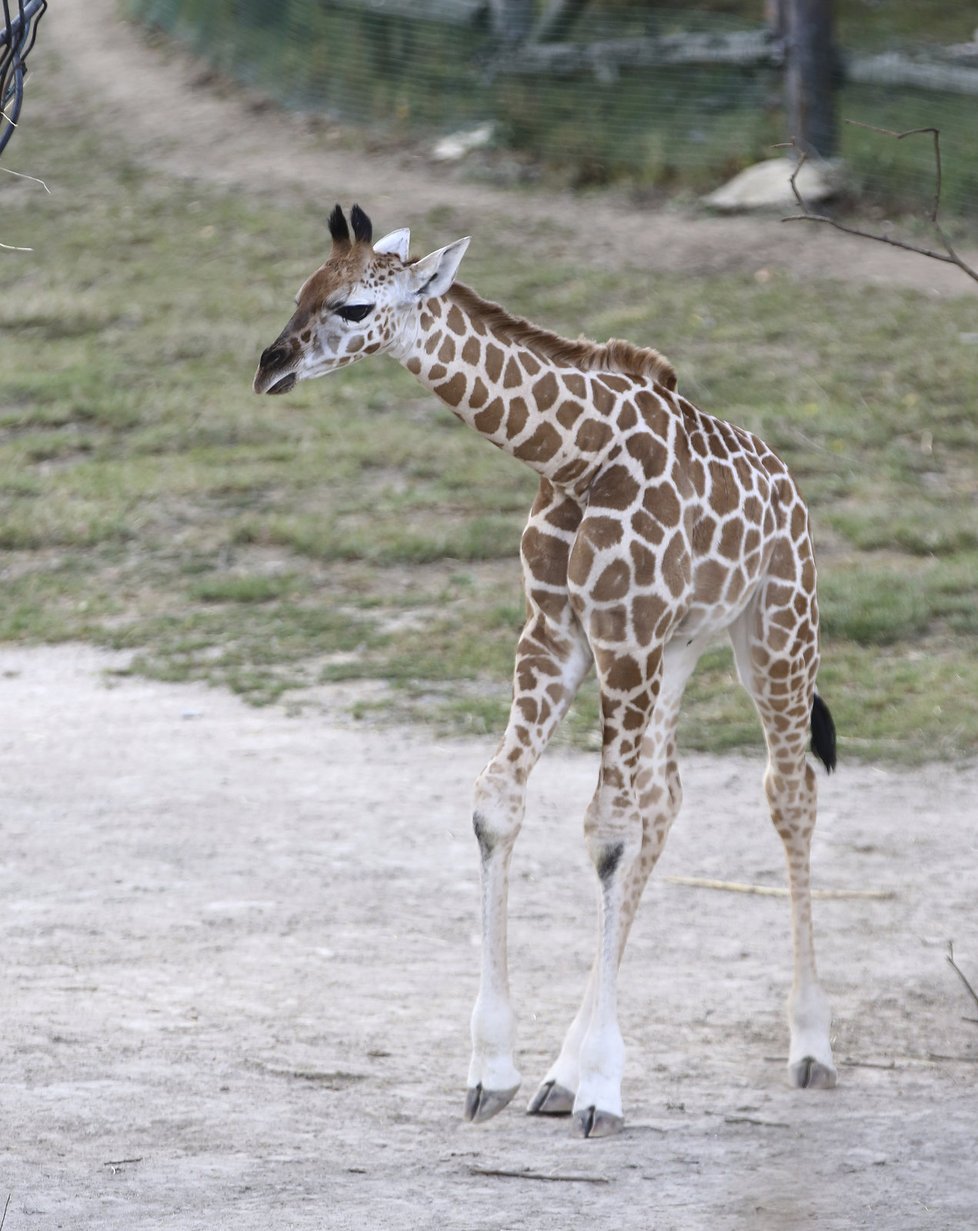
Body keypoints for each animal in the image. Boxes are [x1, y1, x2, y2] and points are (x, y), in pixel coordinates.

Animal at [254, 206, 832, 1137]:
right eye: (302, 289)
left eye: (351, 307)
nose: (269, 366)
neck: (578, 455)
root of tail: (788, 483)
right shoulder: (558, 634)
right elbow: (501, 801)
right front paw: (498, 1070)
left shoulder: (623, 635)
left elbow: (606, 831)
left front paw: (601, 1083)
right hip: (678, 652)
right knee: (666, 797)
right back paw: (560, 1072)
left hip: (777, 632)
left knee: (787, 792)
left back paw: (810, 1046)